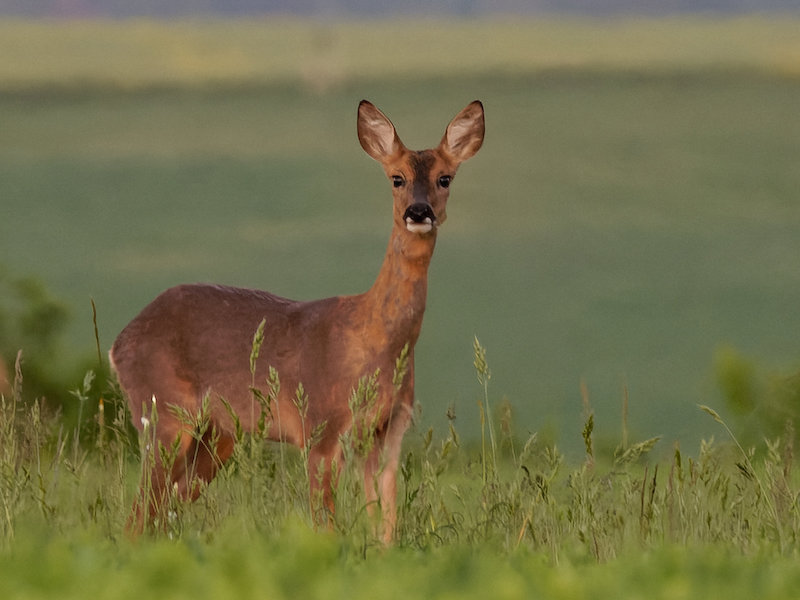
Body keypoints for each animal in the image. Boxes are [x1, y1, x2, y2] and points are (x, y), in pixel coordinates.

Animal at [111, 97, 484, 540]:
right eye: (397, 178)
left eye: (445, 178)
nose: (419, 211)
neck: (373, 341)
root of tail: (120, 342)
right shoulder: (319, 428)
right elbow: (326, 527)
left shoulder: (387, 433)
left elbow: (385, 528)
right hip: (162, 414)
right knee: (137, 515)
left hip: (215, 435)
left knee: (159, 510)